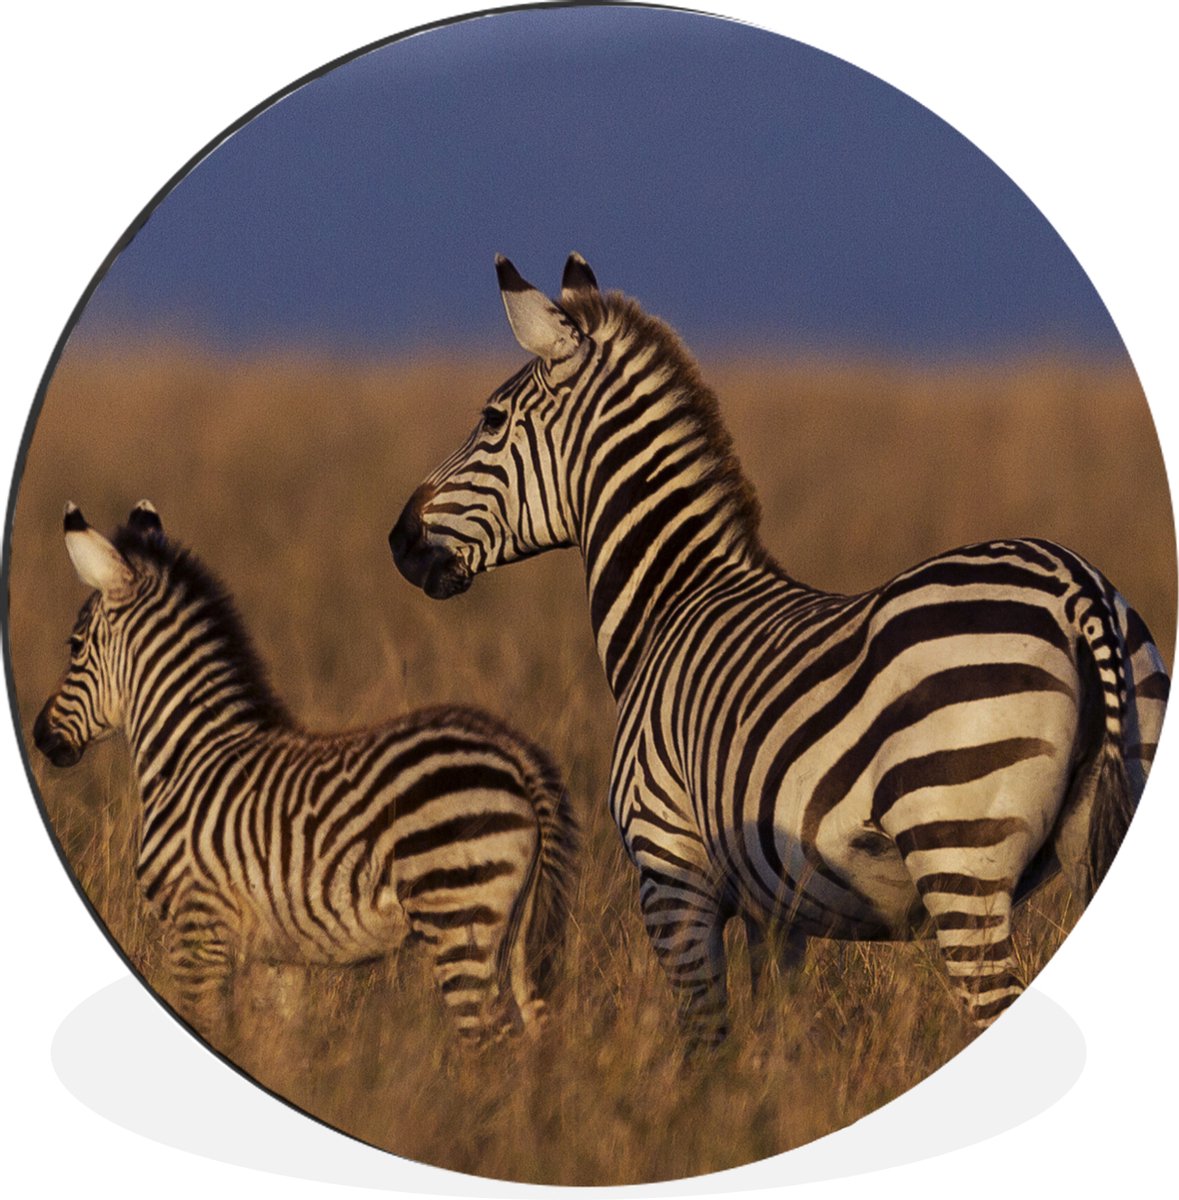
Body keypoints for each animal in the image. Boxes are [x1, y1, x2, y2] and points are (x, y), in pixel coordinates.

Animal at [34, 500, 577, 1043]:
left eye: (74, 646)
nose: (40, 736)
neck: (190, 754)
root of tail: (514, 753)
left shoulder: (197, 926)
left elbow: (206, 1022)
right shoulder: (280, 958)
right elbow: (275, 1046)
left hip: (457, 916)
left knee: (490, 1042)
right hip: (513, 931)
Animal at [389, 253, 1169, 1051]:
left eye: (490, 420)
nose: (399, 540)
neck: (671, 604)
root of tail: (1073, 586)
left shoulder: (671, 874)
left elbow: (707, 1045)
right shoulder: (777, 909)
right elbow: (773, 1047)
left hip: (958, 852)